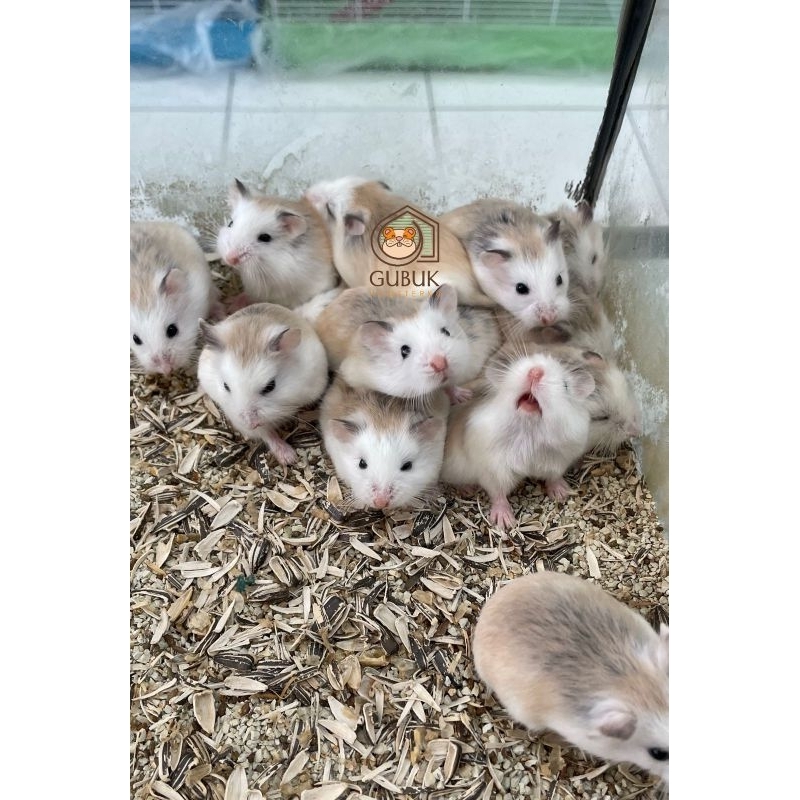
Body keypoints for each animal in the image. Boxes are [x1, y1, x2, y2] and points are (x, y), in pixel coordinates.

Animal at [197, 303, 329, 465]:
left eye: (270, 387)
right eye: (226, 386)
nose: (250, 424)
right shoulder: (237, 418)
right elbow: (266, 434)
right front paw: (289, 458)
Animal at [441, 341, 595, 530]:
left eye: (565, 385)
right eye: (513, 370)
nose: (535, 372)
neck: (529, 431)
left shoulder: (559, 460)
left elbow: (554, 476)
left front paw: (562, 493)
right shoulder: (493, 469)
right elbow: (498, 493)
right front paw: (505, 522)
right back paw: (467, 489)